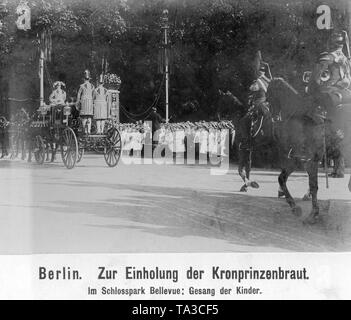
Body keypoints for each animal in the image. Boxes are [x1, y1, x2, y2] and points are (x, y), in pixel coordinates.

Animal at [236, 77, 351, 222]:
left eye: (255, 114)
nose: (239, 140)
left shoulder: (307, 161)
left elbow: (313, 186)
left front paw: (313, 214)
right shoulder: (295, 160)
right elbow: (282, 178)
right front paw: (295, 207)